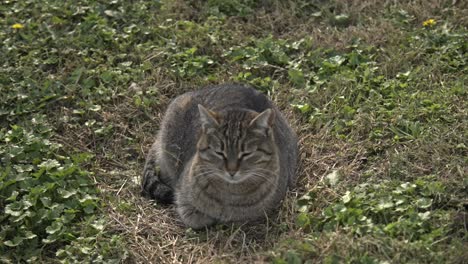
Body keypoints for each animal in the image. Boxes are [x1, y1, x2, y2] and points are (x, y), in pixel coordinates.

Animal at [141, 83, 298, 228]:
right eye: (219, 152)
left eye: (246, 153)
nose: (232, 171)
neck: (230, 195)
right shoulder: (182, 199)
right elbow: (196, 218)